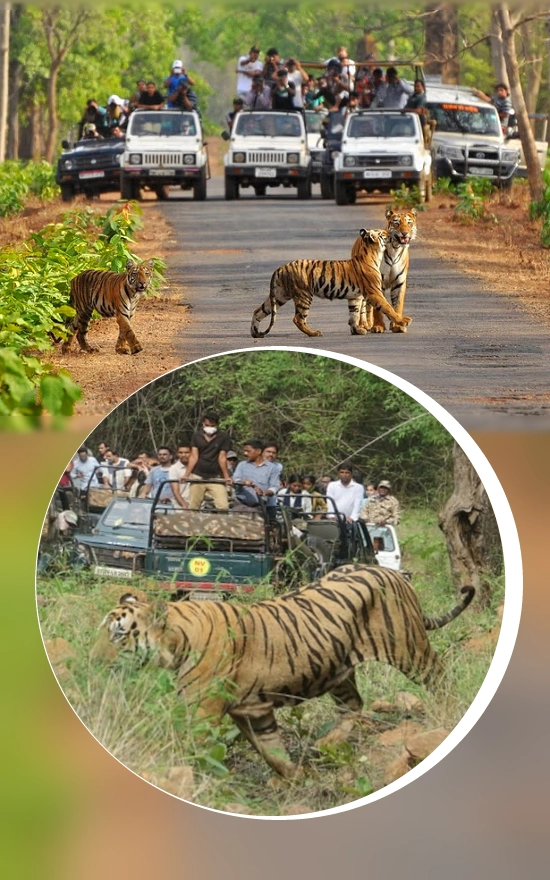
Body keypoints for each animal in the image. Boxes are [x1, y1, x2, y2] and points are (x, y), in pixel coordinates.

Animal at [92, 563, 474, 779]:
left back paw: (448, 717)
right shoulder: (253, 712)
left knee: (440, 678)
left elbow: (191, 747)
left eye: (120, 635)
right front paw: (296, 778)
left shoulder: (204, 711)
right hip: (338, 669)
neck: (177, 643)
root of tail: (395, 573)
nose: (94, 661)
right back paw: (326, 744)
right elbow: (271, 752)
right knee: (353, 704)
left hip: (409, 649)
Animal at [250, 228, 412, 339]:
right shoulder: (374, 292)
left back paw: (255, 332)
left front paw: (357, 330)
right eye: (383, 233)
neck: (373, 254)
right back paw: (314, 333)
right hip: (303, 295)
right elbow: (388, 307)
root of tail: (280, 268)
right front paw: (403, 321)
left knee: (258, 311)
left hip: (279, 295)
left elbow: (354, 314)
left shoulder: (355, 297)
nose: (391, 233)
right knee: (298, 318)